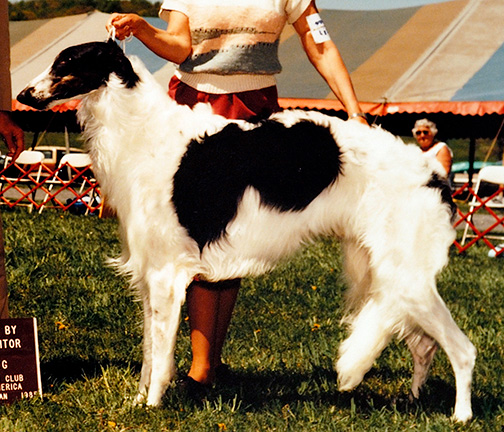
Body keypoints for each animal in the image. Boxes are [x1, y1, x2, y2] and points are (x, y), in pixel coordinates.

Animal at [17, 39, 476, 422]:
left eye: (65, 64)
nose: (22, 95)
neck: (141, 130)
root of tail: (435, 175)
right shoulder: (148, 277)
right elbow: (148, 351)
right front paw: (136, 400)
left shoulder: (165, 276)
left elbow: (160, 357)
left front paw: (150, 407)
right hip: (390, 275)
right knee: (424, 345)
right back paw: (414, 401)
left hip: (405, 276)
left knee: (463, 349)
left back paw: (461, 416)